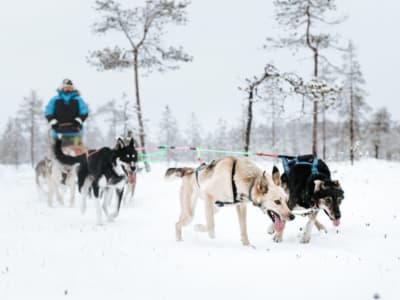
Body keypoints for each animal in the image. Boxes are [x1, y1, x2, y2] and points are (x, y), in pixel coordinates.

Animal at [165, 157, 294, 246]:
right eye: (277, 201)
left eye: (286, 201)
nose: (292, 216)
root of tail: (189, 171)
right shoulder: (208, 195)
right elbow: (211, 226)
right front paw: (201, 229)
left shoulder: (241, 206)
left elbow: (244, 229)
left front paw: (248, 246)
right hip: (190, 214)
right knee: (178, 224)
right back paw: (180, 241)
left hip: (215, 207)